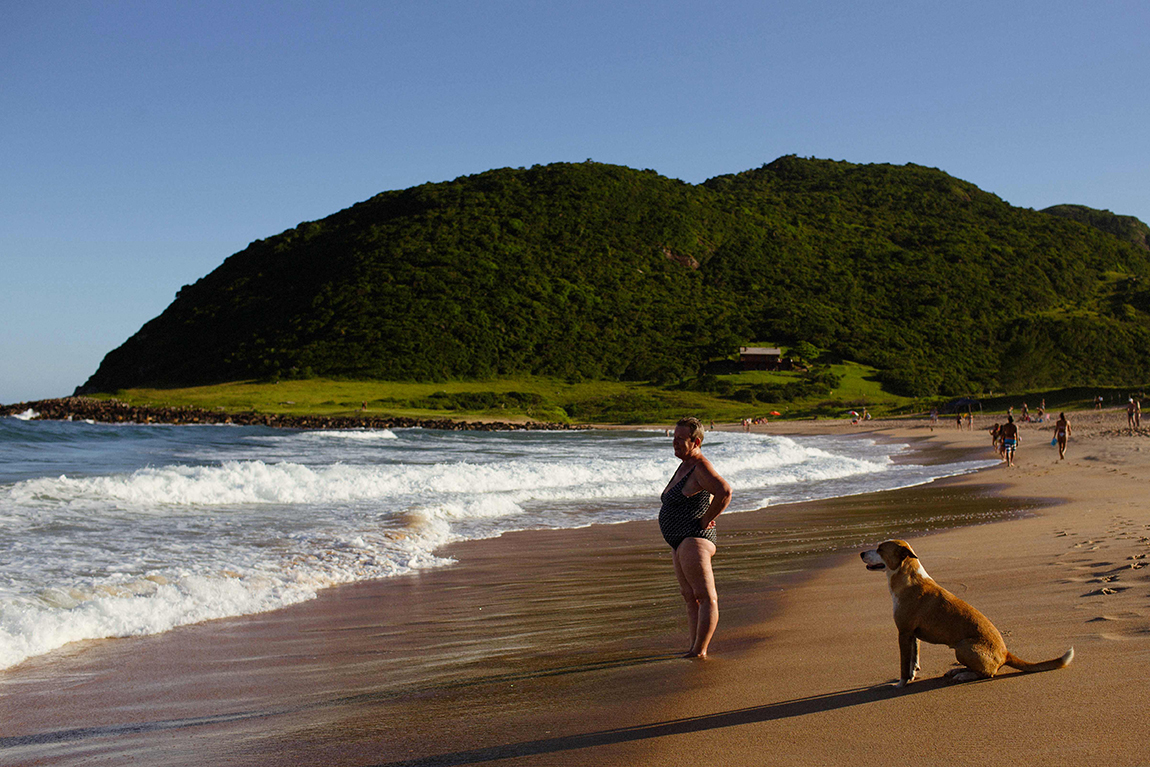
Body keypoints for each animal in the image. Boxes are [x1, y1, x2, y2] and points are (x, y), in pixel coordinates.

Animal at [860, 538, 1071, 685]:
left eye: (880, 549)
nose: (861, 553)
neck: (909, 577)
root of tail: (1005, 653)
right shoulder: (912, 635)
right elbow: (913, 660)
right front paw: (912, 676)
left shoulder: (903, 633)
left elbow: (904, 665)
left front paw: (901, 683)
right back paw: (957, 671)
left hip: (963, 647)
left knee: (987, 673)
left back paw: (963, 675)